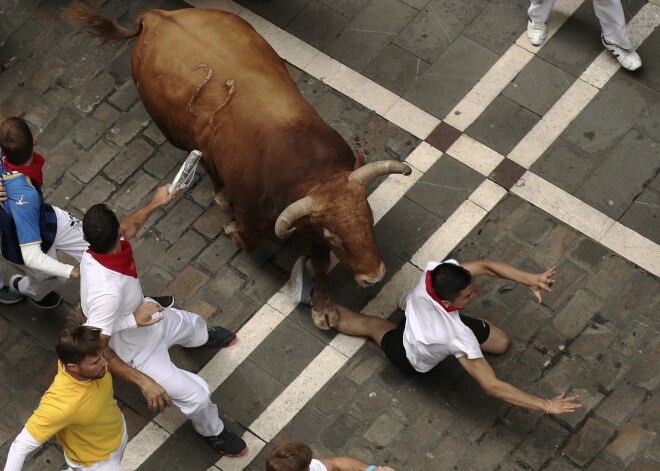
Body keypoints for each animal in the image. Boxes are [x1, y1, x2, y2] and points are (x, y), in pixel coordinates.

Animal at [64, 2, 410, 328]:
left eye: (368, 216)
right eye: (335, 236)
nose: (374, 276)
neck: (302, 158)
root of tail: (154, 16)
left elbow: (321, 265)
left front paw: (323, 308)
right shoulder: (256, 218)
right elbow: (251, 243)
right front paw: (231, 230)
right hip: (176, 134)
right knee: (208, 167)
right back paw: (220, 198)